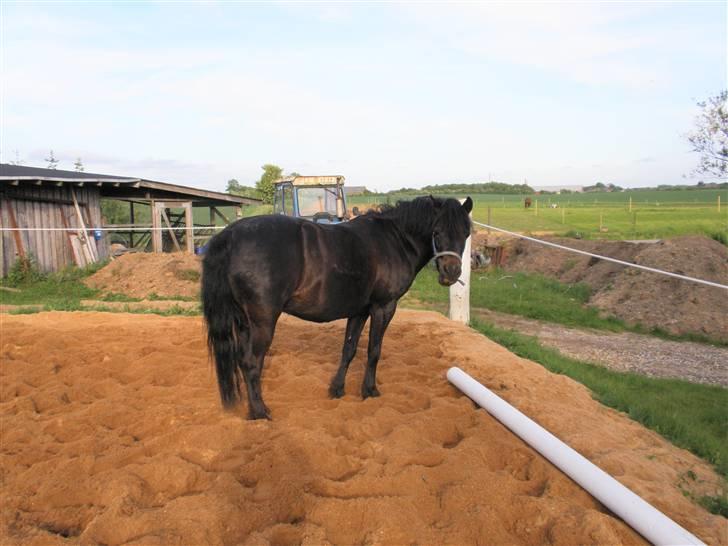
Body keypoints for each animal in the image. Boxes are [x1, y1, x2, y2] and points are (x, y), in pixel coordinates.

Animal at [201, 196, 473, 420]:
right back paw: (260, 412)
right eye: (437, 231)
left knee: (241, 361)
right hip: (263, 321)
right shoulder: (384, 307)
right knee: (250, 362)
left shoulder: (359, 311)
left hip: (243, 322)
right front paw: (369, 390)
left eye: (466, 233)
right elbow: (374, 351)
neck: (395, 240)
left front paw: (337, 388)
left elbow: (349, 349)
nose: (452, 273)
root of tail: (230, 235)